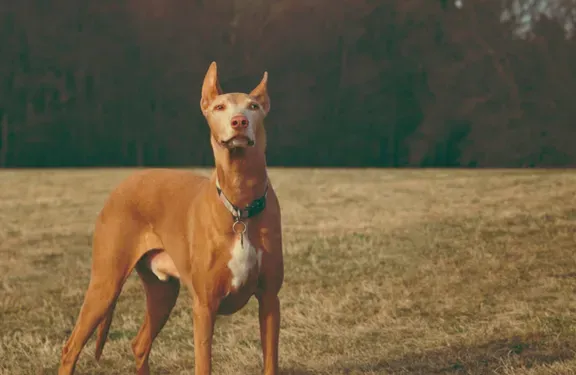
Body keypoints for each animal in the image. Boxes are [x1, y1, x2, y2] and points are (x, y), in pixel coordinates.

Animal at [58, 62, 284, 375]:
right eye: (219, 107)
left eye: (253, 106)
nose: (239, 122)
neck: (240, 205)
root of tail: (123, 184)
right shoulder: (204, 307)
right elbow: (203, 365)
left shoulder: (270, 301)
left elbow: (270, 361)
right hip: (105, 283)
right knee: (71, 348)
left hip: (162, 292)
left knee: (140, 344)